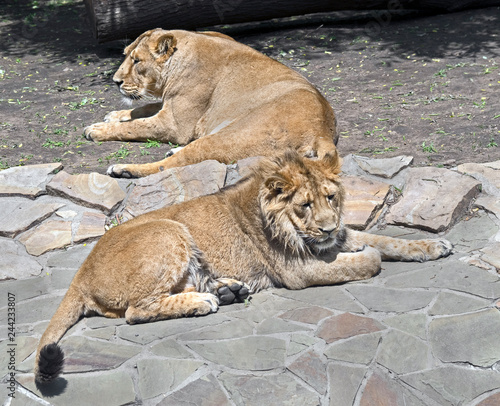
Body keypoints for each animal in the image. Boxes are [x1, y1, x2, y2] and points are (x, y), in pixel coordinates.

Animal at [33, 150, 452, 384]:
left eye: (331, 197)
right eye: (305, 205)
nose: (328, 227)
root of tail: (81, 274)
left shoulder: (335, 240)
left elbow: (387, 240)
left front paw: (433, 245)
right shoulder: (298, 272)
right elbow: (369, 259)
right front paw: (371, 254)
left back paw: (227, 290)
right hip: (171, 230)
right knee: (137, 310)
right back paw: (207, 301)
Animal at [84, 28, 338, 178]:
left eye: (137, 61)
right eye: (126, 54)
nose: (115, 81)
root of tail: (322, 130)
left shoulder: (175, 125)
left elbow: (134, 127)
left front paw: (97, 129)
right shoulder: (170, 105)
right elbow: (144, 109)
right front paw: (116, 114)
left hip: (230, 136)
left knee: (170, 165)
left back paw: (123, 170)